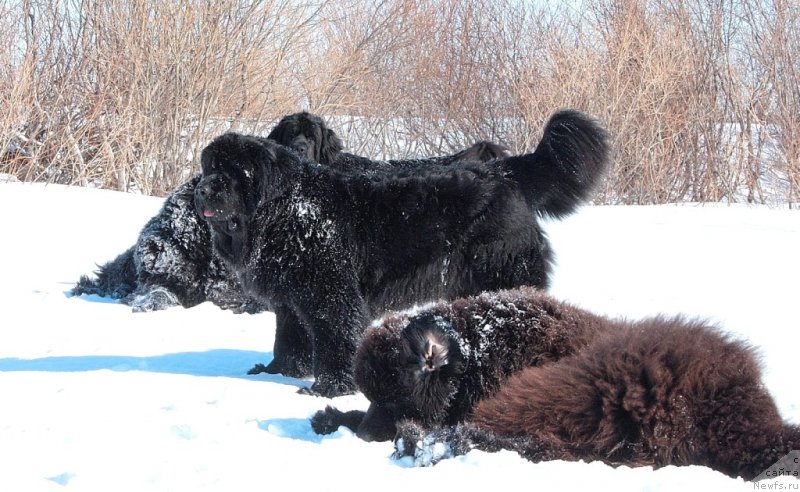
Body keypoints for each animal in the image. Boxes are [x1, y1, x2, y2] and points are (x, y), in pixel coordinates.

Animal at [197, 108, 608, 396]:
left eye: (233, 172)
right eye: (210, 167)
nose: (202, 189)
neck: (284, 209)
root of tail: (503, 173)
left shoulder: (331, 293)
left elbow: (334, 339)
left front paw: (329, 388)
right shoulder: (291, 299)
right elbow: (288, 340)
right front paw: (277, 371)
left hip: (503, 272)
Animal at [312, 288, 800, 480]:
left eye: (394, 397)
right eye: (371, 396)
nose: (364, 434)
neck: (480, 354)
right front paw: (329, 416)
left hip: (583, 390)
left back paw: (420, 445)